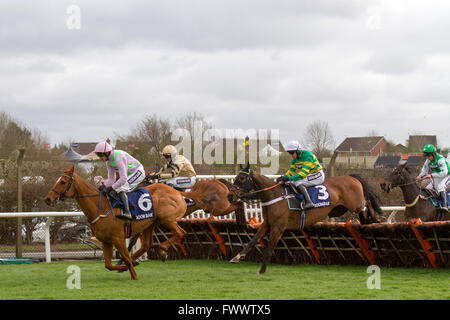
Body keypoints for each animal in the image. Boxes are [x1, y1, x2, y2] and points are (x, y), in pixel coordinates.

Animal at [43, 166, 187, 278]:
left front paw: (134, 276)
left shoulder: (118, 238)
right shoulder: (106, 241)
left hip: (167, 219)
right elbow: (108, 265)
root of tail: (177, 192)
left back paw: (162, 250)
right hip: (150, 223)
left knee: (180, 233)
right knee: (147, 244)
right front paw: (123, 266)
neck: (101, 208)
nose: (48, 199)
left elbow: (126, 258)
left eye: (62, 182)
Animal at [230, 164, 382, 274]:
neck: (274, 195)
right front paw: (237, 257)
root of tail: (352, 177)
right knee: (363, 210)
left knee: (367, 202)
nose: (230, 196)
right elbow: (252, 241)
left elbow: (269, 249)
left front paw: (261, 270)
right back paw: (368, 220)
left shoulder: (278, 228)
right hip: (339, 210)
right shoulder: (267, 224)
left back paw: (376, 217)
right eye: (236, 177)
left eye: (241, 178)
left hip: (355, 204)